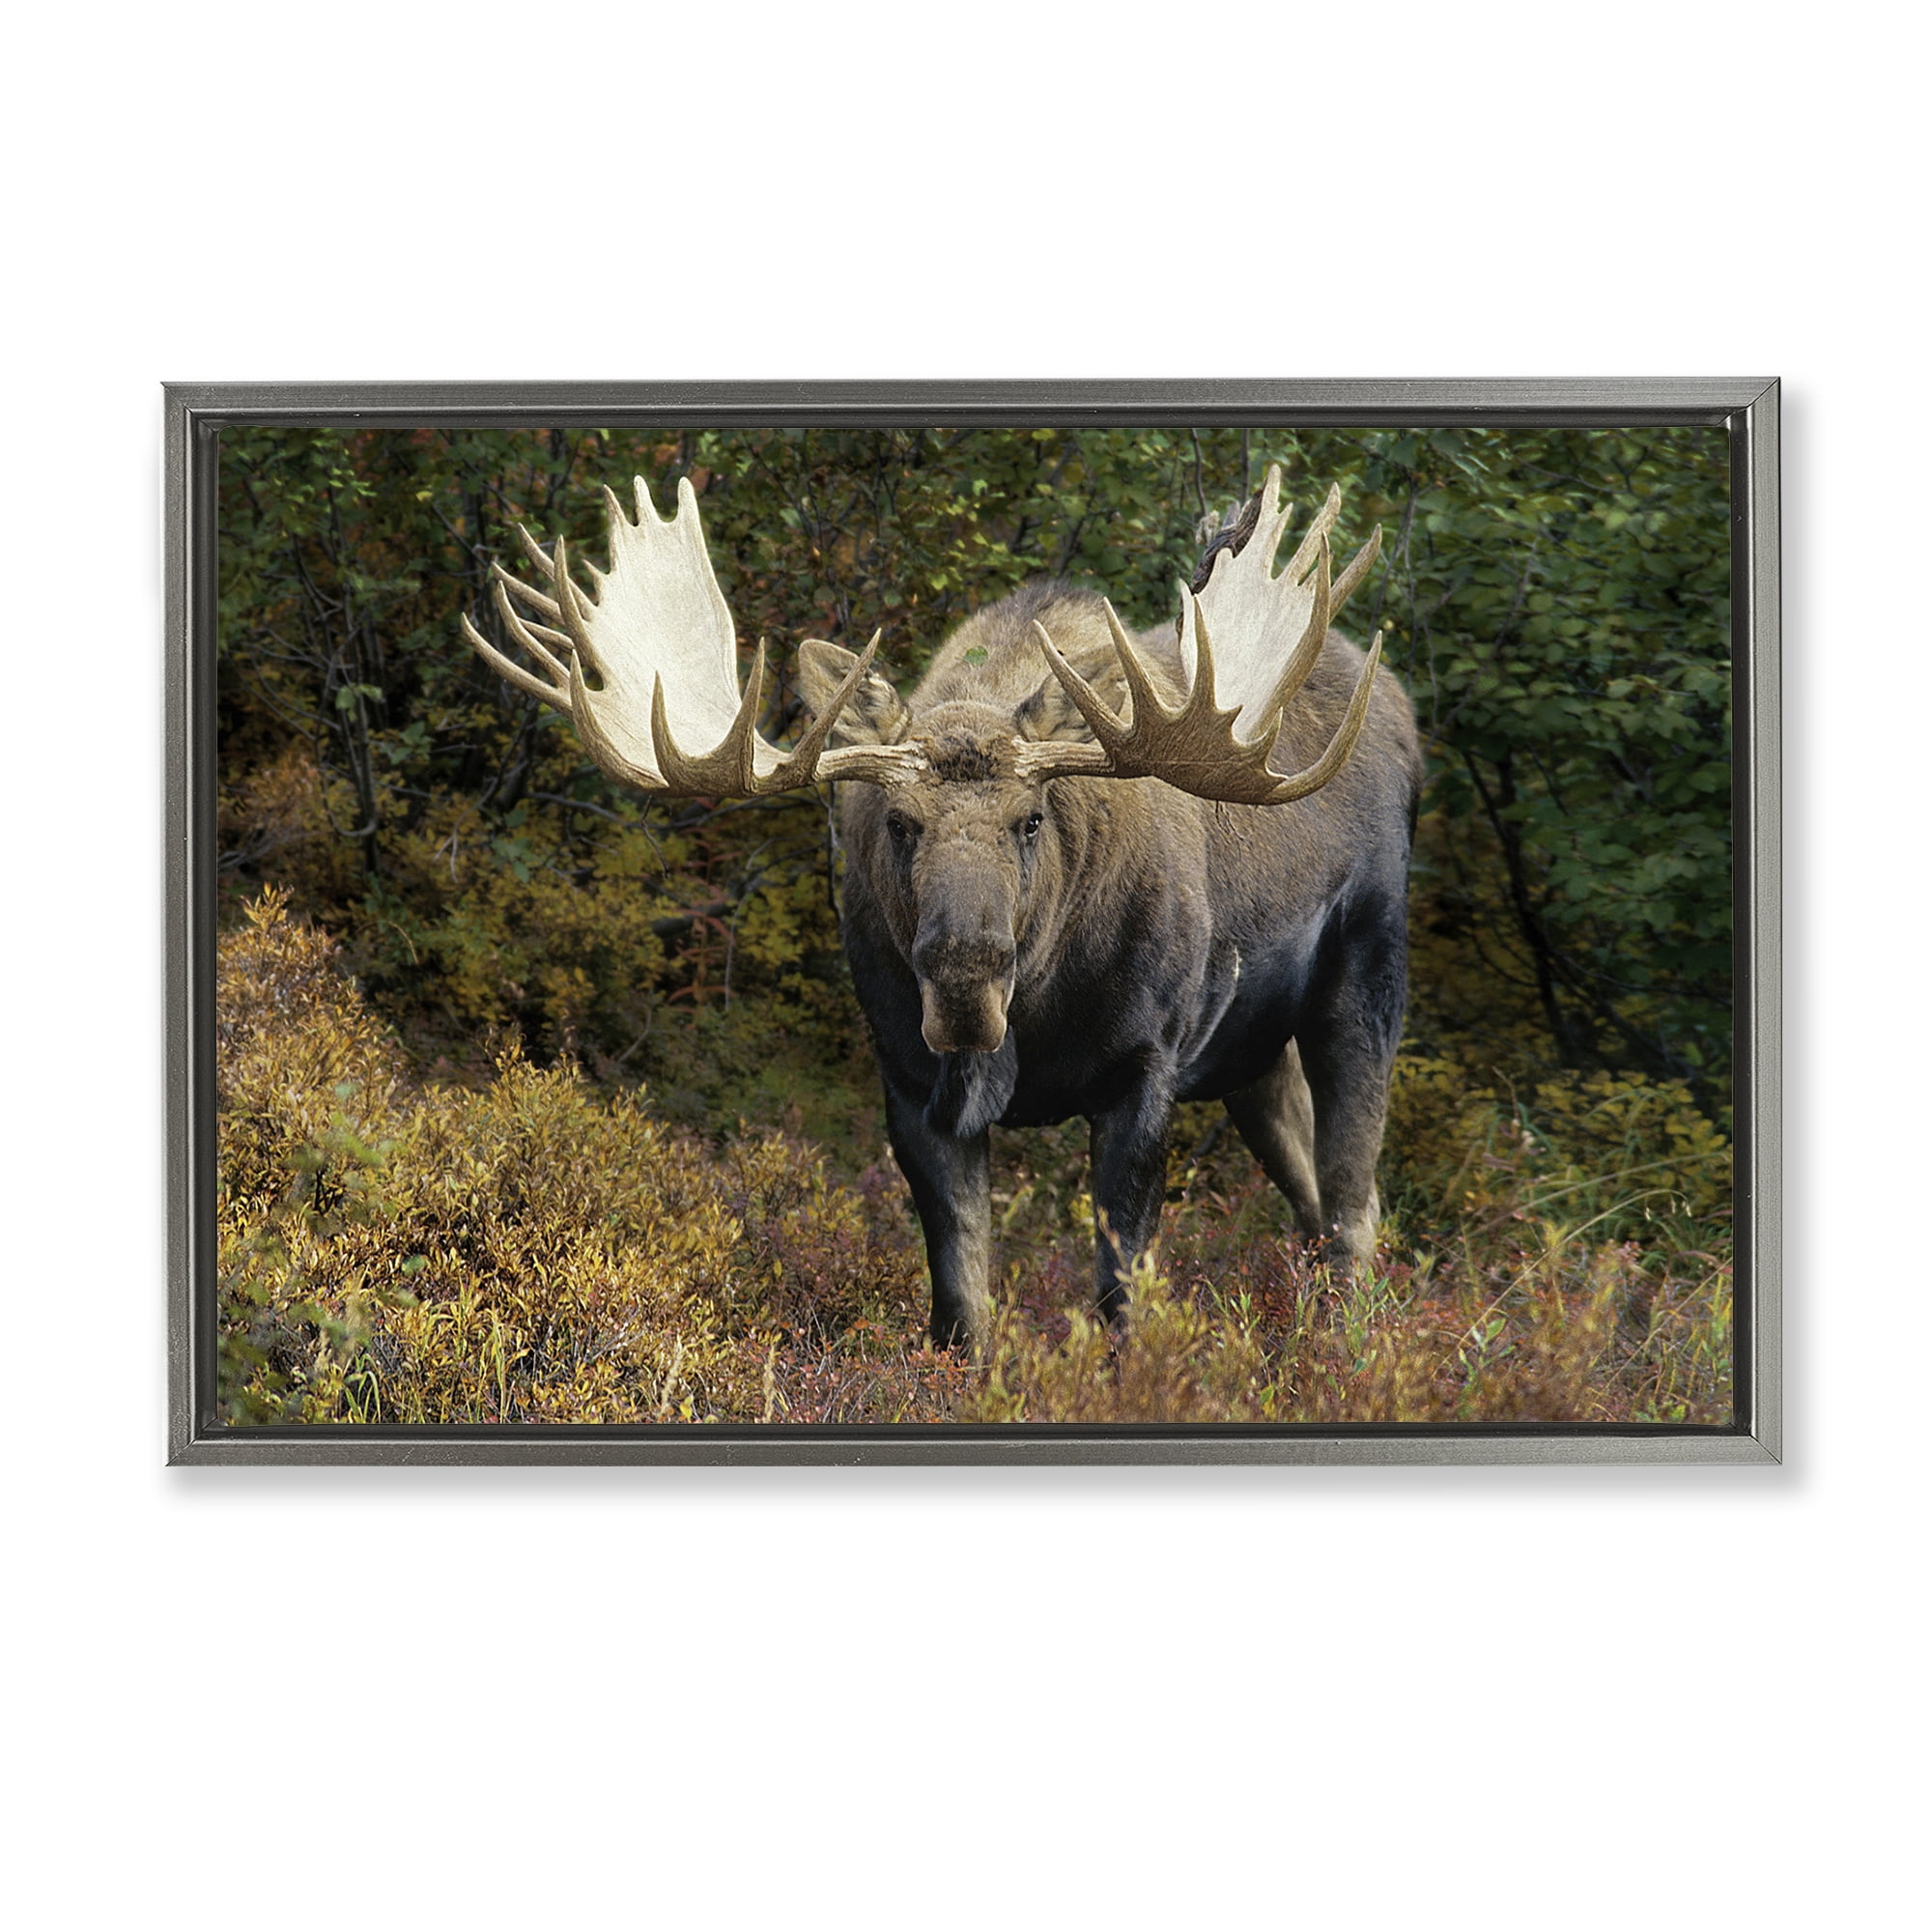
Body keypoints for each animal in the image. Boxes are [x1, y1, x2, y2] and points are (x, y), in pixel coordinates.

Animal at [465, 465, 1422, 1347]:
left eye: (1031, 819)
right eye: (899, 821)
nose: (965, 980)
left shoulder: (1144, 1068)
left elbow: (1121, 1299)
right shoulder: (909, 1082)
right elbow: (961, 1307)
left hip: (1365, 971)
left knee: (1354, 1199)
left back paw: (1350, 1349)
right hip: (1249, 1055)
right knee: (1313, 1191)